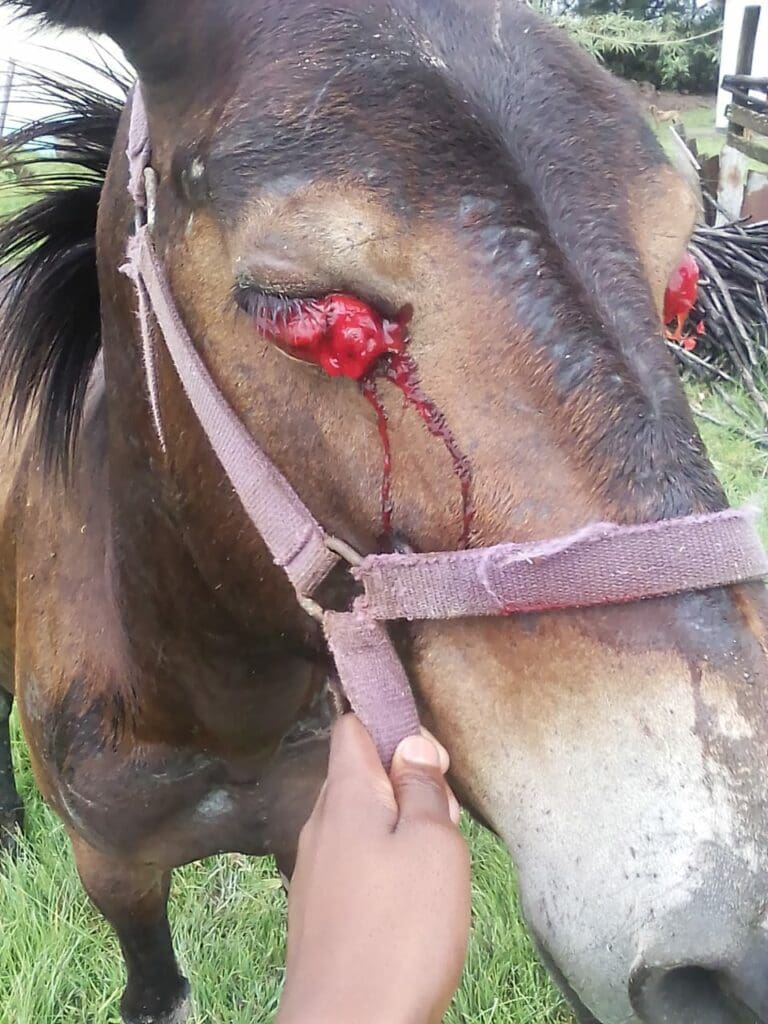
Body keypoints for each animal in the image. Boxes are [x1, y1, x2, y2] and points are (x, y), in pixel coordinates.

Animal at [1, 2, 768, 1023]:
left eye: (681, 290)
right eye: (307, 315)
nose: (743, 948)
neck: (213, 694)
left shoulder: (311, 827)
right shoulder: (115, 871)